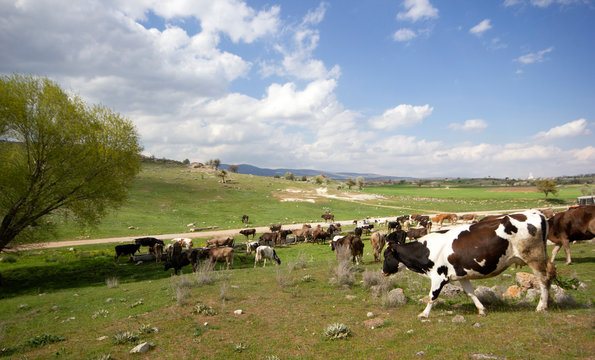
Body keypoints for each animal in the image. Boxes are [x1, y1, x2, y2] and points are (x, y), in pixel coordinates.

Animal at [384, 210, 556, 320]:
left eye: (386, 256)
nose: (383, 271)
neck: (426, 250)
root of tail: (536, 213)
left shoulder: (439, 276)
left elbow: (432, 296)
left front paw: (424, 314)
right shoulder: (461, 275)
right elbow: (471, 293)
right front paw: (481, 310)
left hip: (535, 258)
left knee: (544, 280)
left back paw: (541, 306)